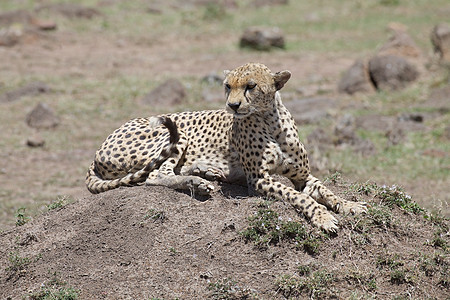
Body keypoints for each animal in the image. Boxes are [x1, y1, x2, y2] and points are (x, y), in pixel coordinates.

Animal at [86, 62, 368, 232]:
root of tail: (98, 149)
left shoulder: (302, 176)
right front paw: (323, 217)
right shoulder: (258, 180)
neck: (270, 120)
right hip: (177, 132)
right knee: (156, 175)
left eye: (250, 86)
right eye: (227, 86)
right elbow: (300, 197)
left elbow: (325, 190)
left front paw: (349, 205)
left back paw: (205, 172)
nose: (232, 105)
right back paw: (197, 182)